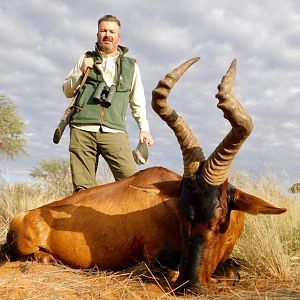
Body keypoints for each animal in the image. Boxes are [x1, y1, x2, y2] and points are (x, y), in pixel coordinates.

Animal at [3, 57, 288, 294]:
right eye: (181, 215)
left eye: (220, 221)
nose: (190, 286)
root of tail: (23, 215)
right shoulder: (155, 259)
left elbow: (234, 271)